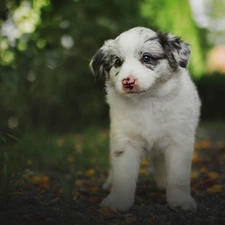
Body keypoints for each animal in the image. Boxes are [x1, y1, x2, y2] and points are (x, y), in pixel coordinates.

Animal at [89, 27, 200, 212]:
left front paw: (180, 200)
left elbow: (177, 175)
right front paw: (118, 201)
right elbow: (123, 174)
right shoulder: (124, 140)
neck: (147, 101)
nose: (128, 81)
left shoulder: (179, 140)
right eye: (117, 62)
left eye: (146, 58)